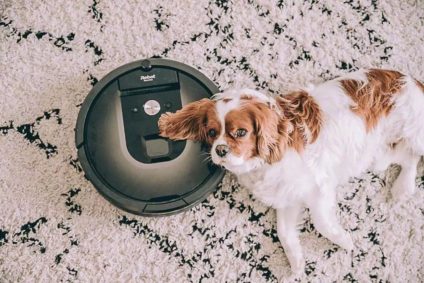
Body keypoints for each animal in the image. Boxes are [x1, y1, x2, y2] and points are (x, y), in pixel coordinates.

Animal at [157, 67, 424, 274]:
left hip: (413, 134)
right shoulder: (288, 198)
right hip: (377, 156)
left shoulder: (319, 187)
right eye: (212, 133)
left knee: (414, 153)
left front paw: (344, 240)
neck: (263, 162)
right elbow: (284, 233)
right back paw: (403, 188)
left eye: (241, 132)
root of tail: (414, 81)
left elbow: (321, 222)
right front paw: (296, 263)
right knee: (406, 157)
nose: (220, 150)